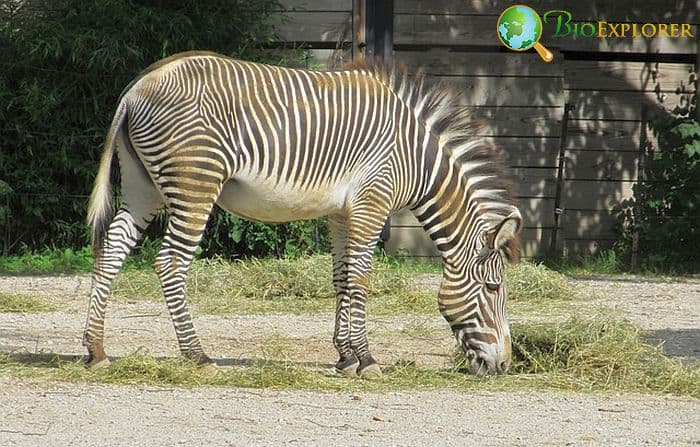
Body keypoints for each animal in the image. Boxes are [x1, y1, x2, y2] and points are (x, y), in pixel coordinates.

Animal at [83, 50, 520, 380]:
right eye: (494, 288)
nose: (503, 365)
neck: (416, 159)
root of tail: (138, 87)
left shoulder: (342, 213)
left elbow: (342, 278)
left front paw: (345, 357)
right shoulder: (372, 203)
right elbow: (361, 279)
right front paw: (367, 360)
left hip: (143, 187)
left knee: (112, 248)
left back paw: (96, 350)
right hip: (195, 183)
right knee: (170, 263)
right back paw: (198, 355)